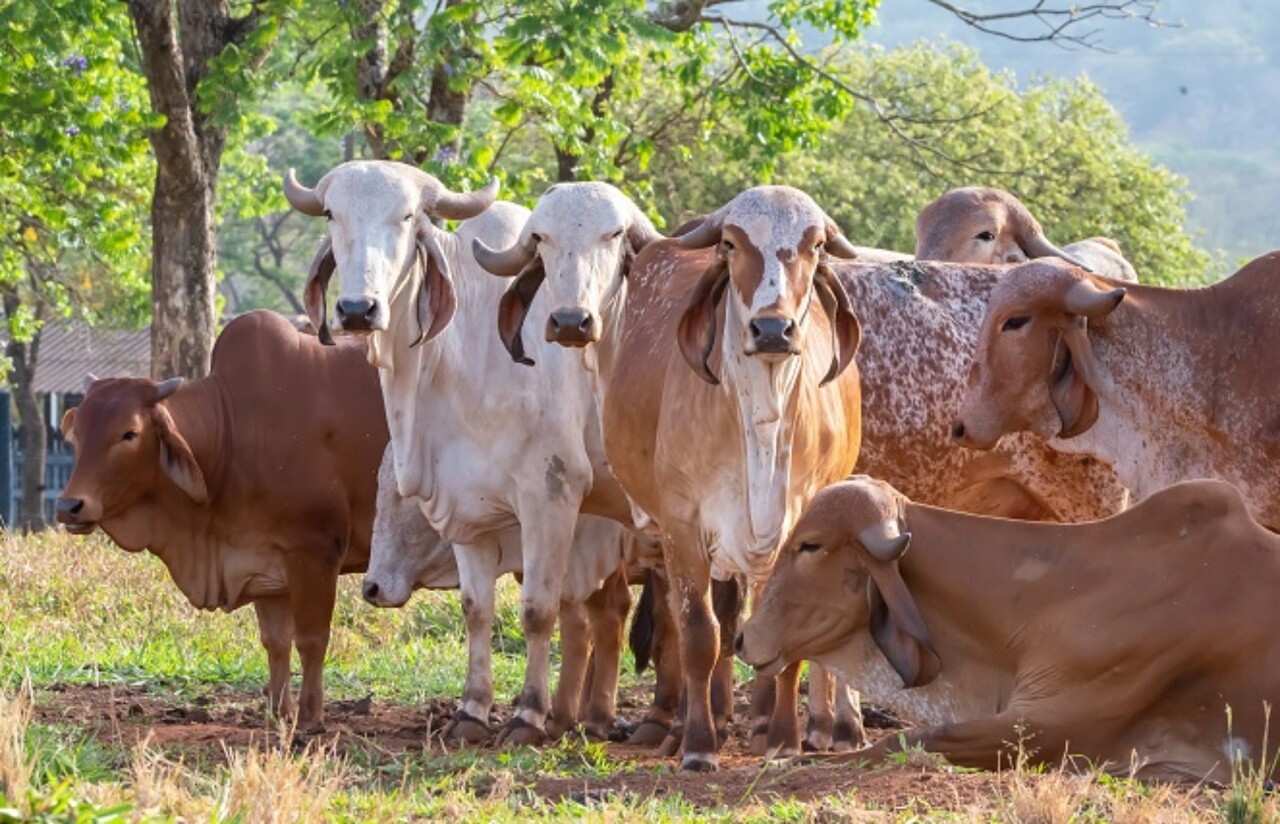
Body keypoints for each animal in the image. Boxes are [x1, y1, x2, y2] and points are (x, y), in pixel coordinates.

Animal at [288, 161, 632, 742]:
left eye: (408, 216)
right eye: (333, 213)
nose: (358, 309)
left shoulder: (550, 498)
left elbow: (538, 611)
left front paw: (528, 715)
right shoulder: (467, 513)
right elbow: (477, 610)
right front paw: (472, 711)